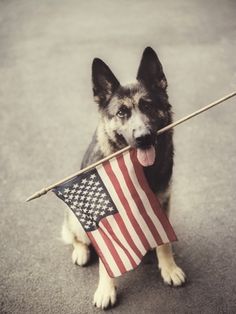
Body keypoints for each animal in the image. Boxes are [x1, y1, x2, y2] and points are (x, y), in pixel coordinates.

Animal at [61, 47, 186, 310]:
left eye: (148, 106)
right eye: (121, 113)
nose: (143, 137)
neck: (139, 169)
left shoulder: (161, 203)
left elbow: (165, 242)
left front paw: (169, 267)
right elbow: (106, 260)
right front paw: (106, 289)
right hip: (77, 221)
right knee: (77, 238)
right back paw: (81, 251)